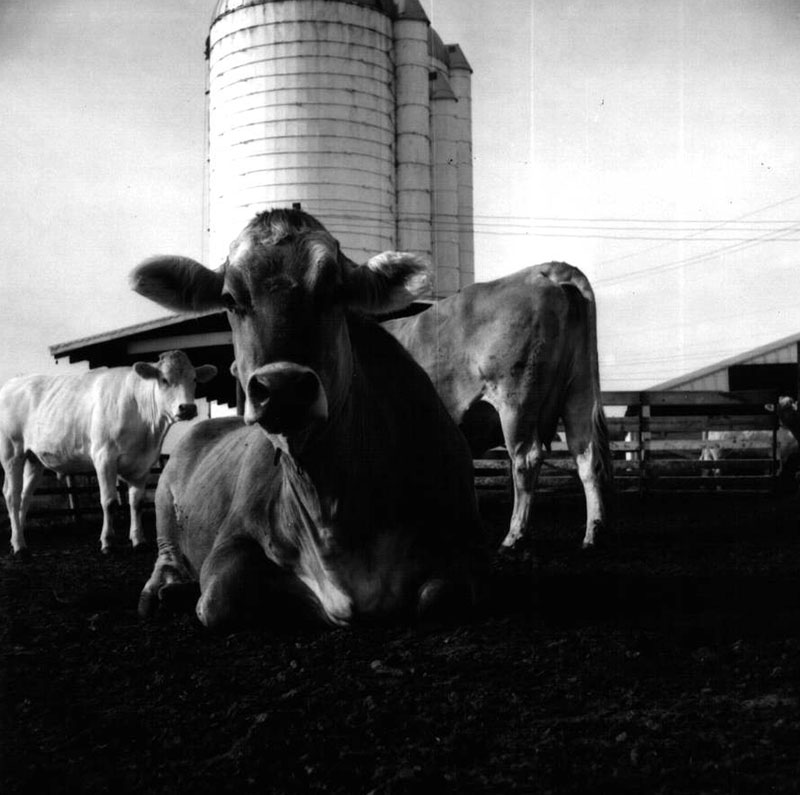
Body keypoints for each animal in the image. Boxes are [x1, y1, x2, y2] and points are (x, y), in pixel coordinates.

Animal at [0, 352, 216, 556]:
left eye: (194, 379)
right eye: (164, 379)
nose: (187, 408)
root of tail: (13, 382)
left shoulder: (144, 463)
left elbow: (136, 503)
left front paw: (139, 540)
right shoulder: (104, 457)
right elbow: (109, 502)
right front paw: (108, 543)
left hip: (33, 459)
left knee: (25, 497)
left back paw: (15, 539)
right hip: (12, 453)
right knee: (12, 496)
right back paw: (20, 546)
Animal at [131, 208, 488, 632]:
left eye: (335, 291)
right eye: (230, 299)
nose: (282, 387)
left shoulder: (463, 545)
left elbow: (444, 596)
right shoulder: (232, 538)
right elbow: (219, 597)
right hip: (163, 501)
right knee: (166, 553)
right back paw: (166, 588)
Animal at [384, 264, 608, 552]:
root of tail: (544, 271)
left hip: (516, 403)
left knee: (527, 459)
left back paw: (513, 537)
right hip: (579, 392)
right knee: (586, 458)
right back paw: (593, 534)